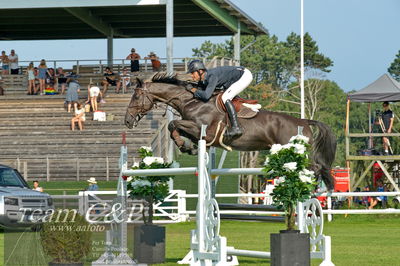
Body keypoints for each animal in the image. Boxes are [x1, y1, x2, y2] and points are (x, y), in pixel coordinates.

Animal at [125, 72, 338, 189]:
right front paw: (189, 147)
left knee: (315, 168)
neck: (192, 101)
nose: (127, 121)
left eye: (135, 96)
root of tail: (303, 120)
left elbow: (173, 125)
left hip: (296, 151)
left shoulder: (204, 130)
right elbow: (176, 128)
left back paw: (314, 190)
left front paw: (184, 146)